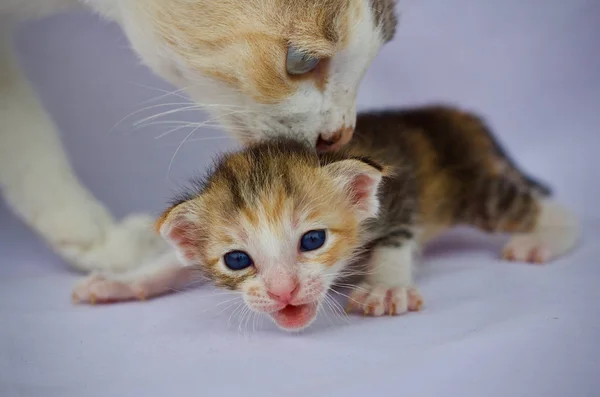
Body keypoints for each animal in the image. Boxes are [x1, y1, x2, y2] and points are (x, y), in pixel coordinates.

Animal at [149, 105, 576, 332]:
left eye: (313, 240)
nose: (283, 291)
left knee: (548, 209)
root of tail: (453, 114)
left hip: (472, 193)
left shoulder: (398, 192)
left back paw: (544, 239)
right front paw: (137, 279)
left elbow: (396, 236)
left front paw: (385, 287)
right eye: (237, 259)